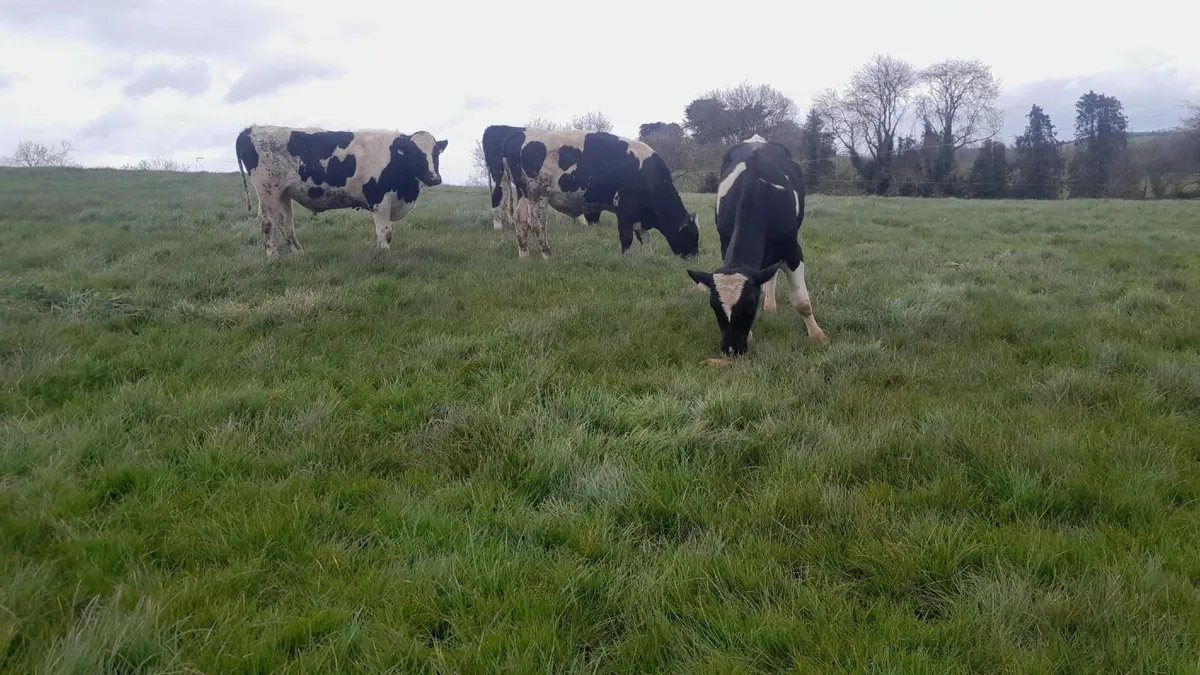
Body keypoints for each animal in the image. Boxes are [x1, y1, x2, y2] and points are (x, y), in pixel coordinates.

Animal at [235, 124, 448, 257]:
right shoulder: (379, 200)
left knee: (285, 222)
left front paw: (378, 252)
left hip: (283, 193)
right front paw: (385, 255)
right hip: (267, 190)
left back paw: (298, 252)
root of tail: (250, 129)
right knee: (266, 221)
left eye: (436, 153)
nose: (434, 178)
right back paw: (273, 255)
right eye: (415, 153)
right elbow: (385, 233)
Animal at [499, 129, 700, 259]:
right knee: (536, 223)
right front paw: (626, 258)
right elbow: (626, 236)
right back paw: (547, 254)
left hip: (523, 193)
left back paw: (524, 254)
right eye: (691, 235)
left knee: (520, 219)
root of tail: (519, 135)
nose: (693, 257)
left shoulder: (639, 215)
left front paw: (648, 256)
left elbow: (644, 238)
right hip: (538, 193)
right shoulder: (626, 208)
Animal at [686, 134, 826, 357]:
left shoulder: (792, 250)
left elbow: (802, 302)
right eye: (714, 307)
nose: (732, 349)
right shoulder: (725, 244)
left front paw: (817, 335)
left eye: (749, 305)